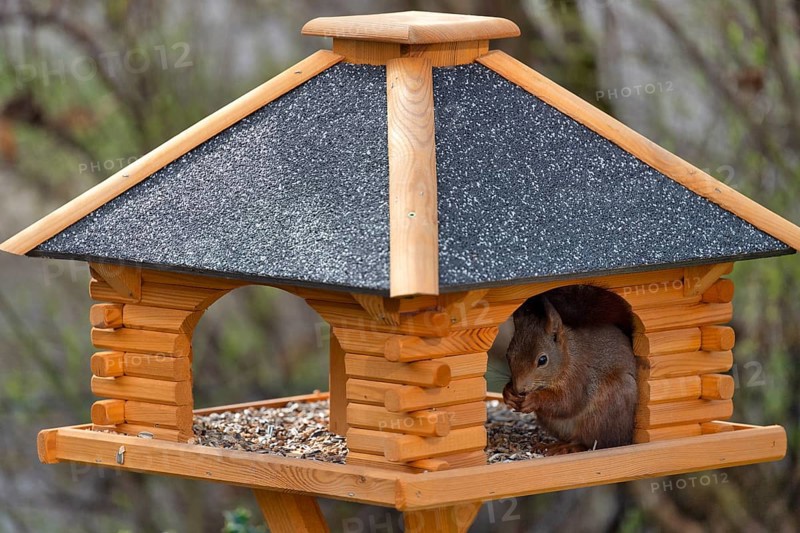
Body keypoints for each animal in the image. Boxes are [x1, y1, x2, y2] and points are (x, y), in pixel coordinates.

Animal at [502, 285, 637, 455]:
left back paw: (567, 447)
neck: (568, 357)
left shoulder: (579, 375)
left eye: (542, 360)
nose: (519, 389)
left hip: (606, 412)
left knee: (590, 442)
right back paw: (550, 445)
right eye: (508, 355)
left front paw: (533, 399)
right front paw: (508, 393)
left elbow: (567, 401)